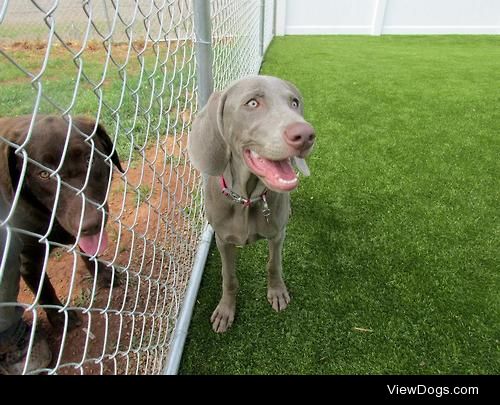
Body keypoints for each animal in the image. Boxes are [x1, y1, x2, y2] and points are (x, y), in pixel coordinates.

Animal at [0, 114, 123, 328]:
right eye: (44, 174)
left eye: (89, 159)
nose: (90, 224)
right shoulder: (28, 260)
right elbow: (44, 289)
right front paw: (59, 318)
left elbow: (88, 253)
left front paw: (102, 274)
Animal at [189, 76, 314, 332]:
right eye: (253, 103)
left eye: (294, 103)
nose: (306, 135)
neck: (246, 200)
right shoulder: (223, 240)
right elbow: (228, 277)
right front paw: (225, 310)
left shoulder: (277, 235)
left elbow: (274, 265)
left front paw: (277, 292)